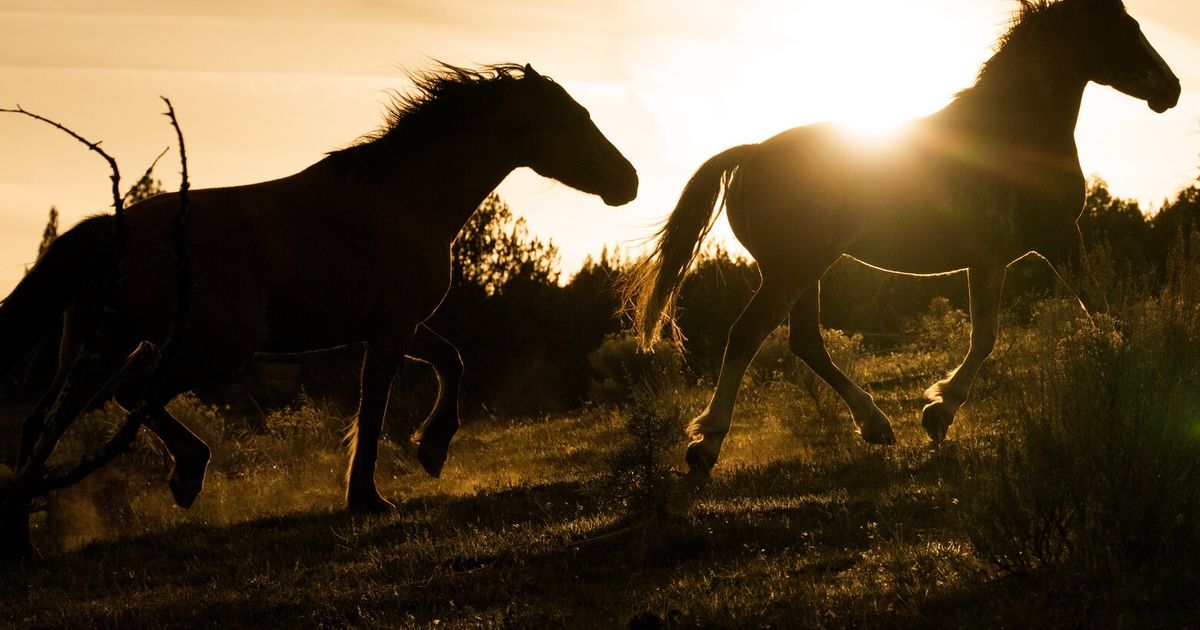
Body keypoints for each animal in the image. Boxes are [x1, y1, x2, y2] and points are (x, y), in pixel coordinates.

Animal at [1, 63, 638, 512]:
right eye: (574, 120)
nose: (628, 181)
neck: (406, 199)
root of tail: (109, 231)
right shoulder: (390, 329)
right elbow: (375, 407)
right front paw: (369, 498)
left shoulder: (395, 325)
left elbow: (451, 361)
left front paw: (431, 451)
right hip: (208, 346)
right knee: (130, 396)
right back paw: (188, 473)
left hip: (104, 346)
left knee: (43, 424)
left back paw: (25, 542)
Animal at [623, 0, 1179, 475]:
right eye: (1126, 26)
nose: (1171, 90)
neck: (1016, 136)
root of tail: (752, 153)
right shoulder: (1058, 237)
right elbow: (1099, 312)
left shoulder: (990, 260)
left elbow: (986, 335)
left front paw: (938, 413)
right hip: (791, 270)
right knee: (748, 335)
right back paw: (706, 445)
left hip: (804, 271)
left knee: (805, 343)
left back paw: (876, 427)